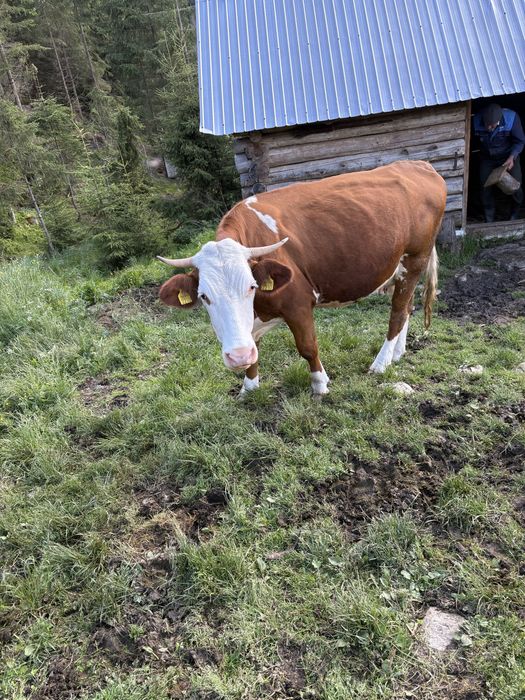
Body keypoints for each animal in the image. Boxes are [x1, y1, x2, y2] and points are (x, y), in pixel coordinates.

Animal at [157, 160, 446, 396]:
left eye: (251, 286)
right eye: (204, 296)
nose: (238, 356)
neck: (259, 308)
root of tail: (419, 165)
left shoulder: (298, 302)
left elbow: (307, 347)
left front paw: (320, 385)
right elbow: (255, 348)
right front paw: (248, 388)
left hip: (415, 259)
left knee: (397, 312)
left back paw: (381, 362)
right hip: (402, 270)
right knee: (407, 307)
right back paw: (398, 353)